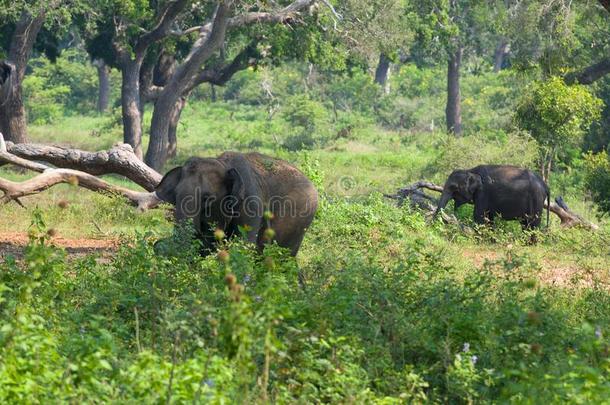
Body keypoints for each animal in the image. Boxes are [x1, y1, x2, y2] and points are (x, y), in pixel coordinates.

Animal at [153, 150, 318, 254]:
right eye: (175, 195)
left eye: (207, 198)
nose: (156, 244)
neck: (223, 164)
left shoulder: (251, 202)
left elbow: (243, 246)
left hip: (299, 219)